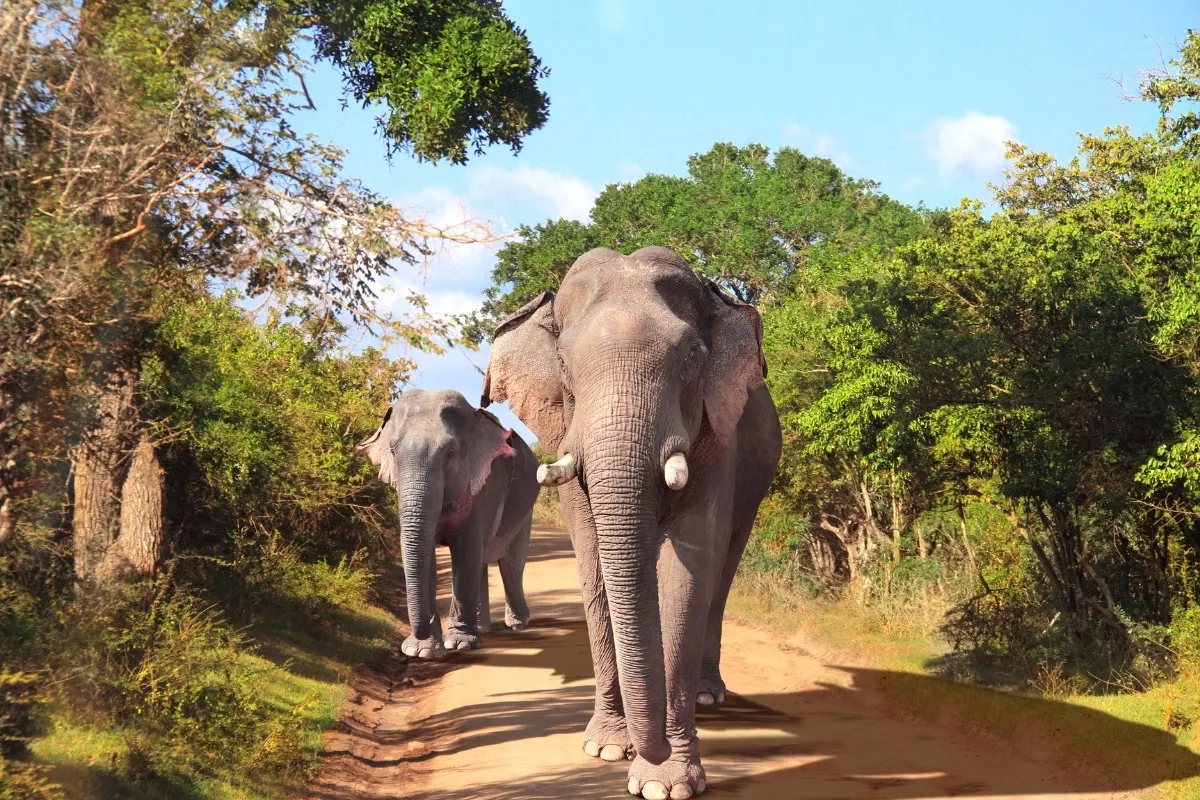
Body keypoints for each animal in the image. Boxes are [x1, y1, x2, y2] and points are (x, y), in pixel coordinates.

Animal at [357, 388, 540, 659]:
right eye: (393, 451)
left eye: (450, 453)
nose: (418, 633)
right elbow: (426, 555)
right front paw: (422, 651)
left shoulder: (487, 485)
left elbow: (466, 551)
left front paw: (460, 644)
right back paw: (483, 629)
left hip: (524, 510)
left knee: (510, 565)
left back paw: (517, 624)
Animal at [481, 246, 782, 799]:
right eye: (564, 365)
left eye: (692, 358)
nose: (653, 746)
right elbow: (595, 562)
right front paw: (605, 749)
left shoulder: (717, 438)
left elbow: (686, 571)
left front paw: (665, 782)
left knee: (722, 573)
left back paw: (708, 696)